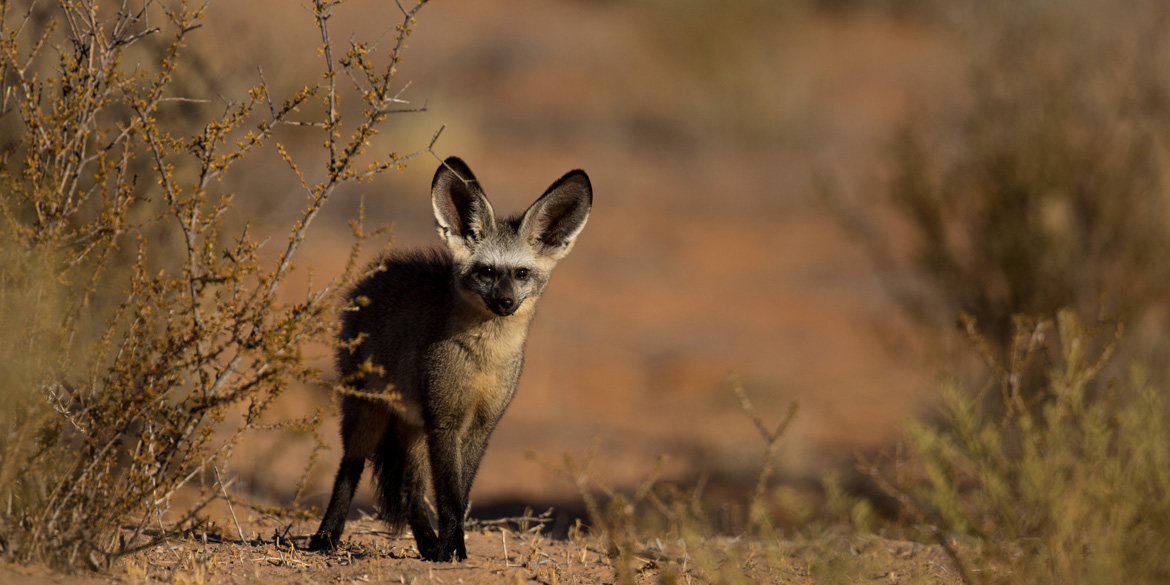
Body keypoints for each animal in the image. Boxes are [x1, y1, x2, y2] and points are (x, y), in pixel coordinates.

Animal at [308, 156, 592, 562]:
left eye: (521, 273)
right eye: (487, 271)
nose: (505, 302)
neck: (484, 361)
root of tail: (377, 273)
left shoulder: (480, 426)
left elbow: (461, 492)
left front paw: (447, 547)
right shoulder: (444, 421)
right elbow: (448, 496)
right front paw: (451, 549)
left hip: (412, 427)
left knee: (410, 491)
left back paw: (426, 543)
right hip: (368, 414)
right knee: (350, 468)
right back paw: (327, 536)